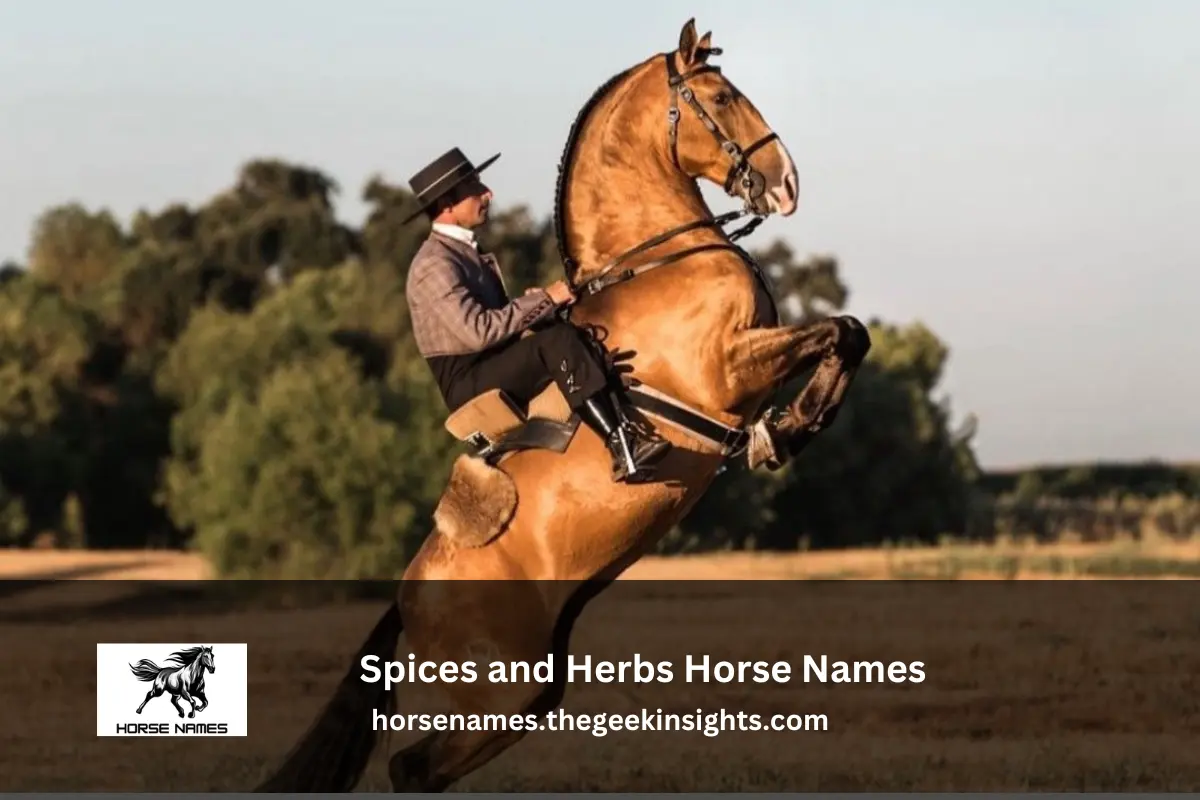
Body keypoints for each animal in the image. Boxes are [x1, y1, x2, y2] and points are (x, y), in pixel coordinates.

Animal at [253, 17, 870, 792]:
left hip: (528, 695)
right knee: (410, 766)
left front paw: (786, 428)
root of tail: (406, 601)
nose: (787, 184)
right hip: (500, 691)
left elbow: (849, 333)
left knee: (419, 768)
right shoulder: (729, 365)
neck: (656, 261)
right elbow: (840, 333)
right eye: (723, 97)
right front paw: (790, 429)